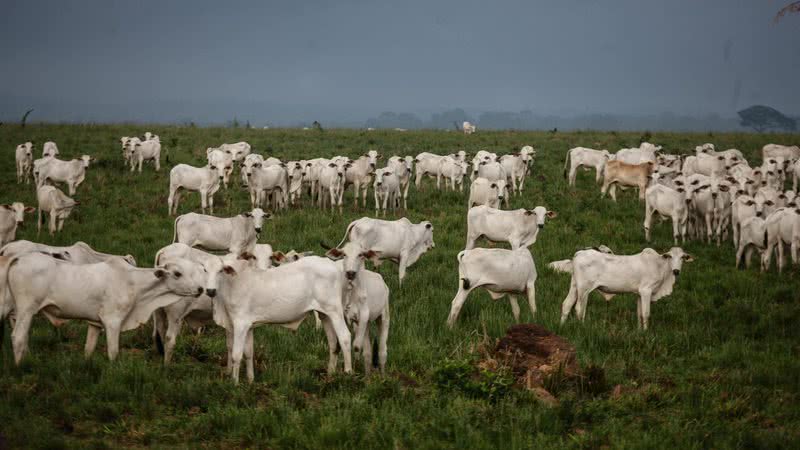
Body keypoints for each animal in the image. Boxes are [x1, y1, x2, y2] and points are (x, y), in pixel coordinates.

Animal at [5, 253, 205, 366]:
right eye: (178, 273)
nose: (200, 289)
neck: (133, 284)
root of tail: (19, 258)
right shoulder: (112, 321)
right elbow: (113, 352)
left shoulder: (95, 324)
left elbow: (89, 349)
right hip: (26, 309)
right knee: (18, 337)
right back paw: (19, 367)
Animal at [209, 256, 354, 384]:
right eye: (205, 269)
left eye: (220, 270)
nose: (210, 291)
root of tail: (334, 265)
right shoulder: (248, 326)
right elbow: (249, 352)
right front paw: (250, 380)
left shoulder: (240, 324)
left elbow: (236, 354)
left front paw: (234, 383)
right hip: (325, 314)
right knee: (333, 343)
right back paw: (330, 374)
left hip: (335, 311)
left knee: (345, 337)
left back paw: (348, 373)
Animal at [552, 246, 692, 330]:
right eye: (670, 256)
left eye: (683, 257)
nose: (676, 271)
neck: (659, 266)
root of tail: (579, 253)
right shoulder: (646, 291)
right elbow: (646, 314)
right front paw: (646, 332)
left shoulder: (639, 294)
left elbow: (639, 313)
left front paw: (640, 332)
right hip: (584, 289)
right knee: (579, 308)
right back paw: (582, 328)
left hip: (574, 285)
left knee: (566, 304)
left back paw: (561, 326)